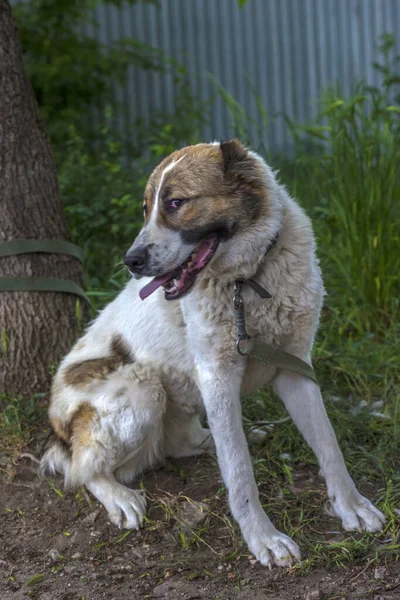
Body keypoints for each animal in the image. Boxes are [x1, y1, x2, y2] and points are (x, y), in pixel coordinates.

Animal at [41, 139, 384, 568]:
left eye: (175, 203)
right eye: (145, 208)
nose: (131, 261)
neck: (248, 281)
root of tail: (56, 418)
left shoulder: (295, 367)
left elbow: (328, 443)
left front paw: (351, 505)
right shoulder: (217, 376)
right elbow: (239, 472)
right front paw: (263, 538)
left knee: (185, 442)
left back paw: (242, 435)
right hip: (141, 387)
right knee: (81, 469)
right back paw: (119, 497)